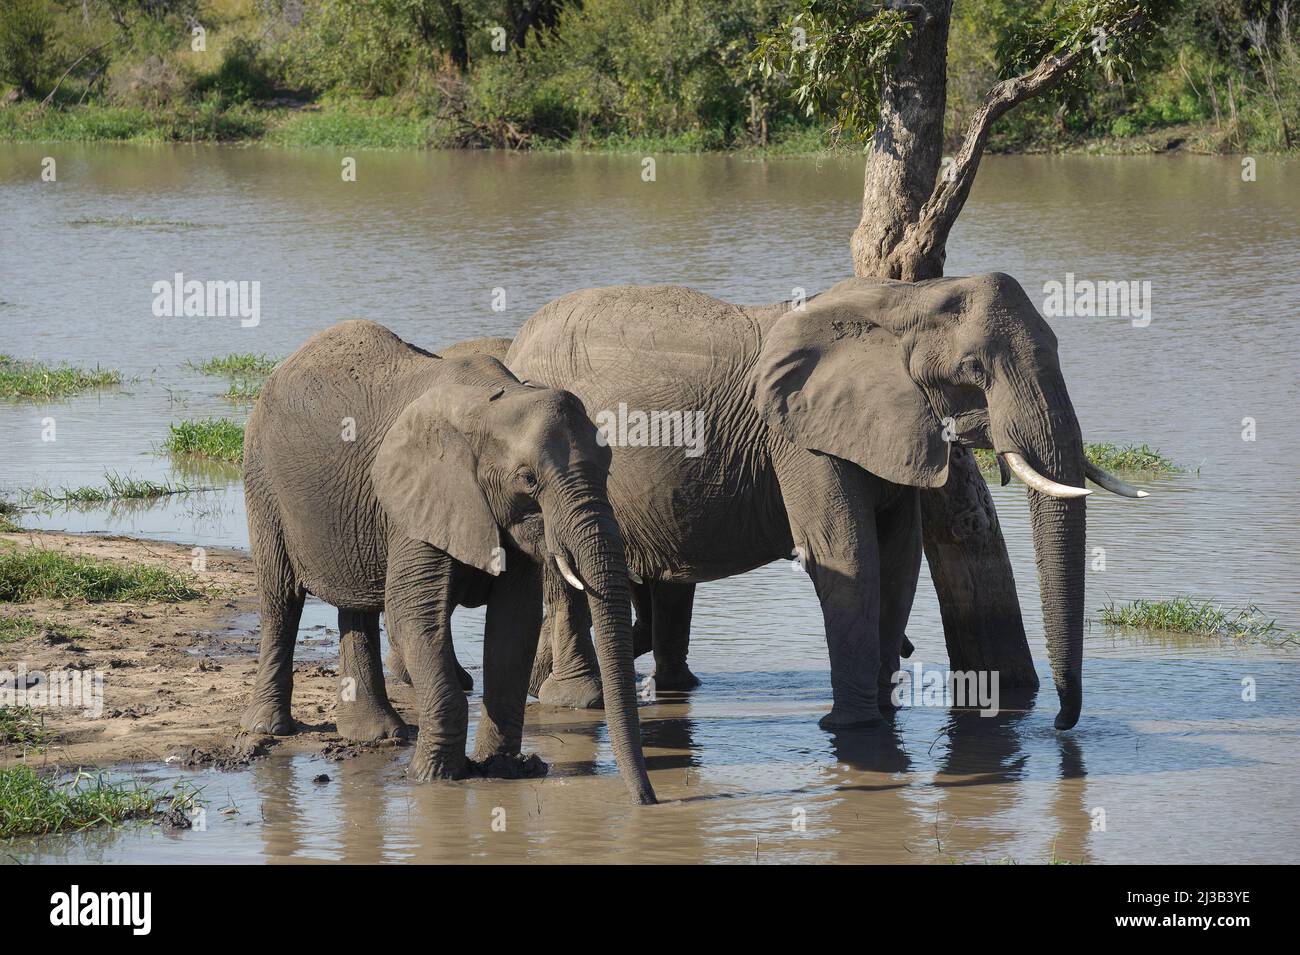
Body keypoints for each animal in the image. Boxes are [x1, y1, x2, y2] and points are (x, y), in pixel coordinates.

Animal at [239, 323, 655, 805]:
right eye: (528, 479)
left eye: (608, 469)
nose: (647, 801)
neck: (492, 404)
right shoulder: (419, 497)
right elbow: (414, 616)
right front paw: (434, 777)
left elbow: (514, 625)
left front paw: (503, 770)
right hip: (262, 478)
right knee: (281, 600)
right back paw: (271, 729)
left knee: (356, 608)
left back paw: (376, 736)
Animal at [506, 274, 1149, 732]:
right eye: (972, 371)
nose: (1060, 724)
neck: (905, 302)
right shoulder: (798, 435)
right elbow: (846, 554)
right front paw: (853, 726)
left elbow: (899, 559)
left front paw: (883, 714)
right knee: (565, 575)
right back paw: (571, 699)